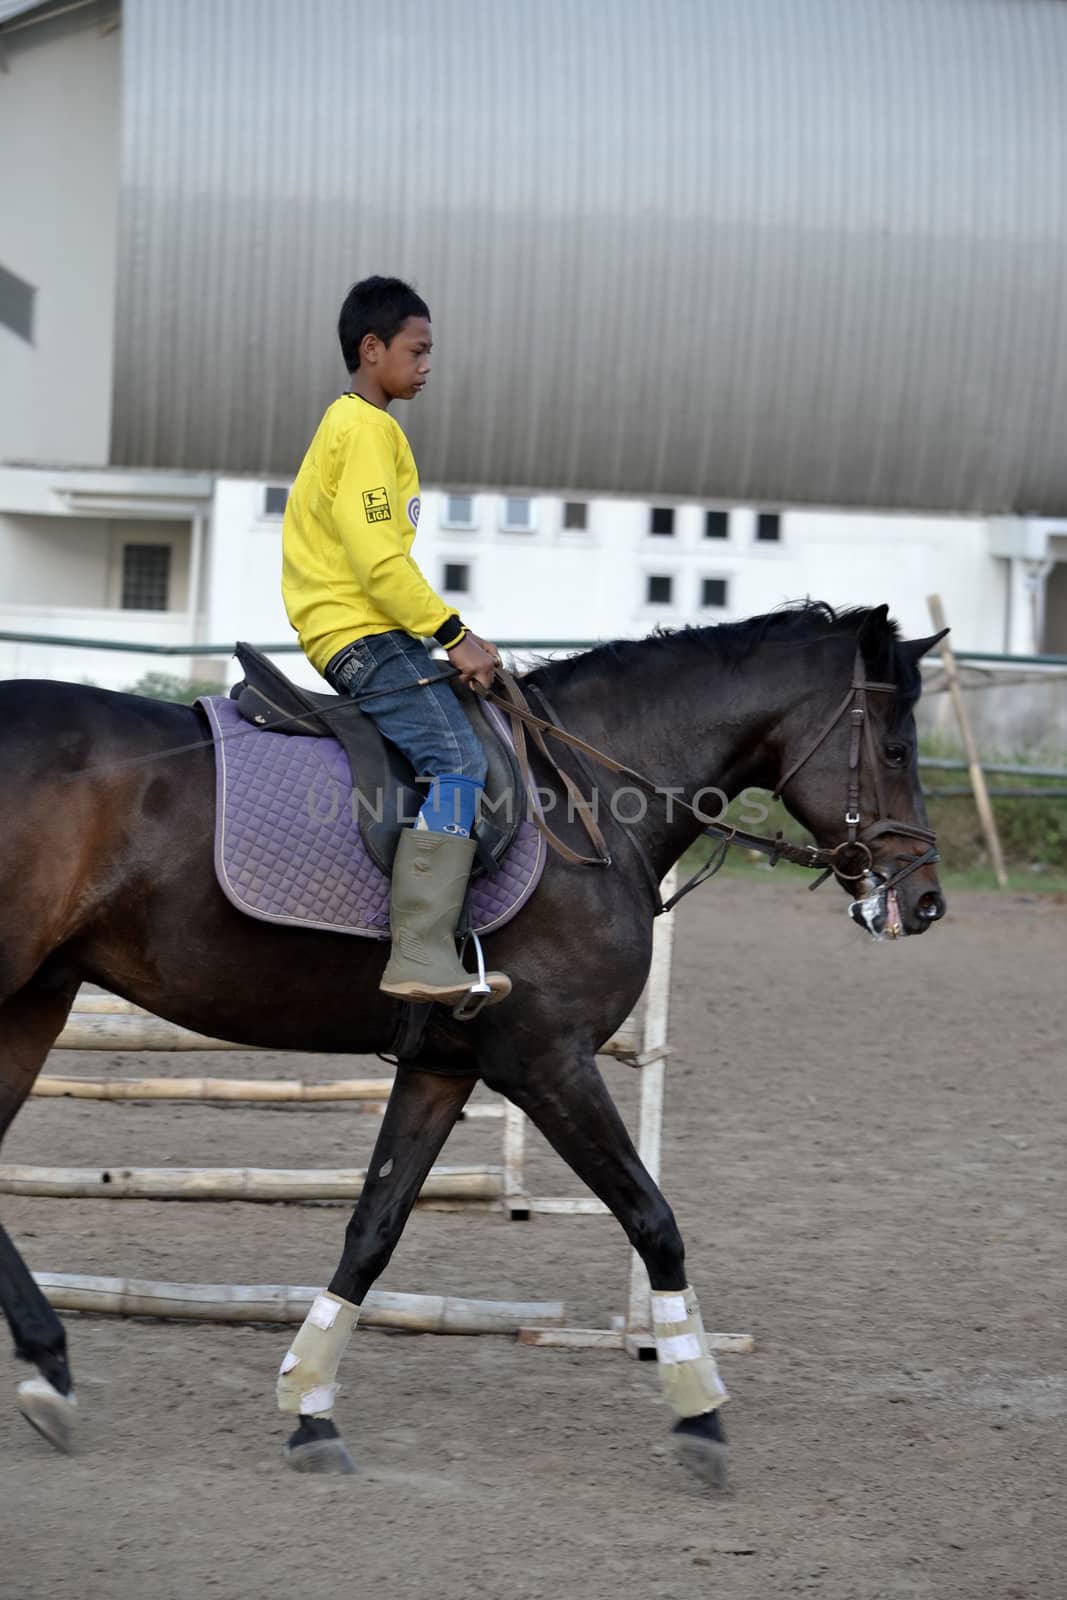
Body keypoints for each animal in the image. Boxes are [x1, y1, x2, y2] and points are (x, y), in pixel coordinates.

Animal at [2, 604, 953, 1478]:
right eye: (896, 751)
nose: (925, 901)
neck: (586, 797)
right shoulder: (547, 1062)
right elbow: (654, 1220)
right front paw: (699, 1412)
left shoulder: (442, 1067)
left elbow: (373, 1229)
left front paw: (310, 1407)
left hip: (36, 1001)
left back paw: (51, 1372)